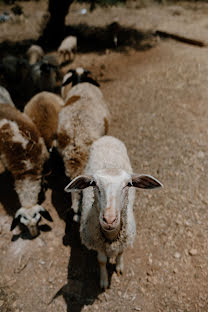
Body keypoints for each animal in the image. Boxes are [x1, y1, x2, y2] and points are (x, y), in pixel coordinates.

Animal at [65, 135, 162, 288]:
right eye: (93, 183)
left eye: (129, 184)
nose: (109, 219)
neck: (110, 238)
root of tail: (107, 137)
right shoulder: (97, 244)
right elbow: (102, 260)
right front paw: (104, 280)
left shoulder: (124, 240)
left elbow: (121, 253)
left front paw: (119, 267)